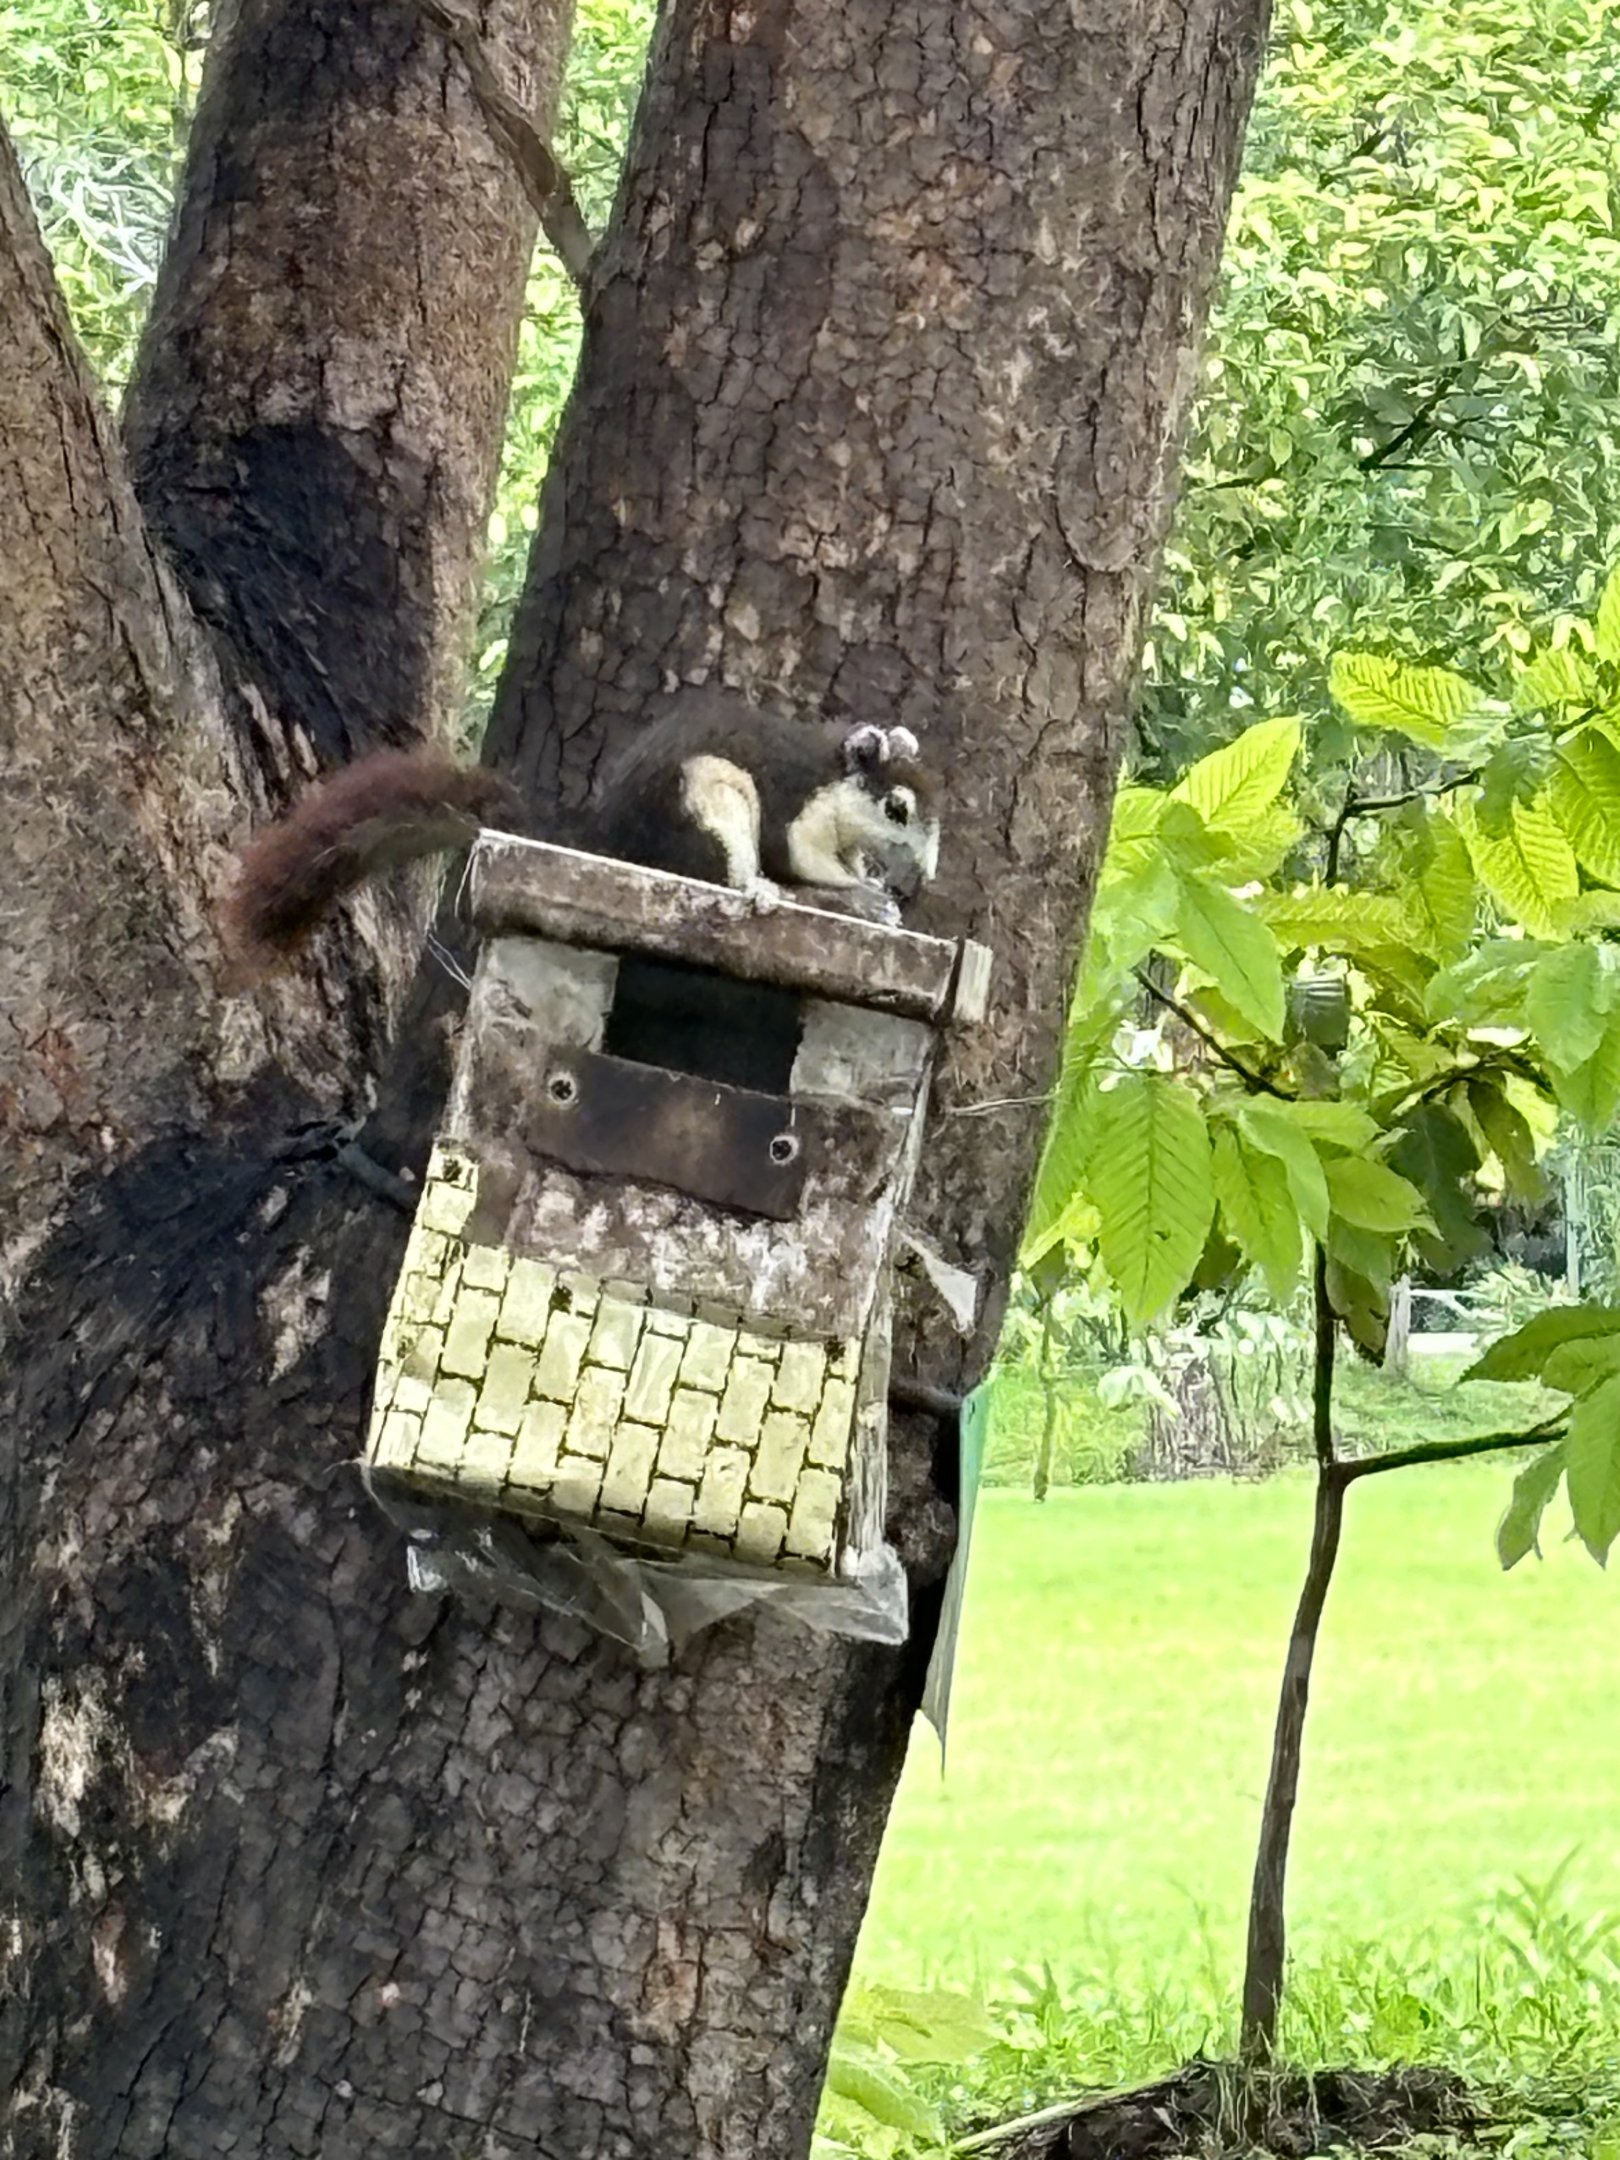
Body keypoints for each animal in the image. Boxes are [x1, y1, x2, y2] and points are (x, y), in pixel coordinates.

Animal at [223, 690, 941, 977]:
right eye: (897, 810)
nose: (921, 882)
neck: (831, 782)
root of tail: (610, 845)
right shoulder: (794, 812)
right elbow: (799, 859)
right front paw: (863, 897)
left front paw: (878, 894)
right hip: (708, 802)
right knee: (725, 878)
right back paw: (773, 893)